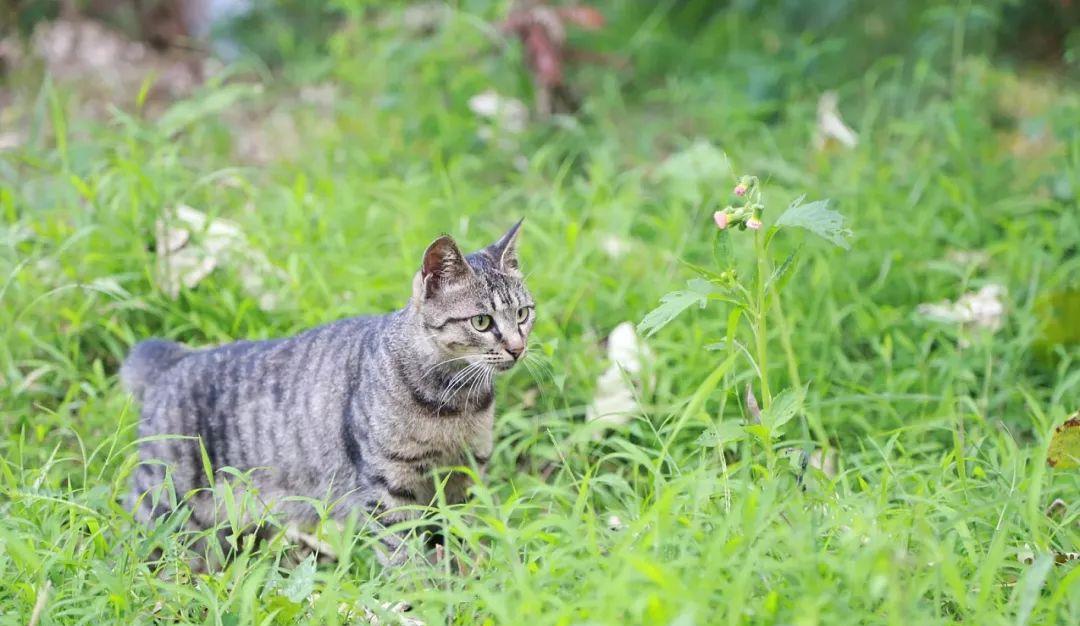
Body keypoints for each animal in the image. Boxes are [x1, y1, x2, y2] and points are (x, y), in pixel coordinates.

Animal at [120, 222, 533, 565]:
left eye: (523, 314)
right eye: (482, 321)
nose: (517, 348)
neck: (454, 401)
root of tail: (173, 360)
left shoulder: (466, 475)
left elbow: (461, 536)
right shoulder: (389, 485)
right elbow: (402, 552)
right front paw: (419, 593)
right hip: (163, 506)